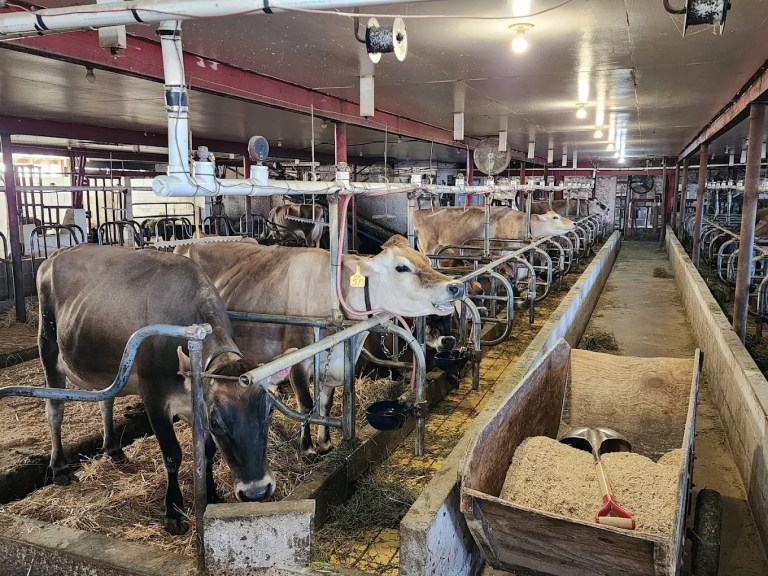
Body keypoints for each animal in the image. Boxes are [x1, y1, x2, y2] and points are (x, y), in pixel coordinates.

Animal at [36, 244, 281, 535]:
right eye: (217, 422)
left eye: (269, 412)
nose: (257, 491)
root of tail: (54, 256)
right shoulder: (154, 398)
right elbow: (173, 455)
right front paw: (173, 513)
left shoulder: (196, 403)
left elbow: (206, 452)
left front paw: (210, 495)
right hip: (48, 348)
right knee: (54, 410)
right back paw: (59, 467)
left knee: (106, 401)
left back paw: (113, 449)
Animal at [176, 235, 464, 457]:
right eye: (401, 267)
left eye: (426, 260)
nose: (456, 286)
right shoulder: (297, 359)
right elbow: (306, 405)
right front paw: (307, 449)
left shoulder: (337, 360)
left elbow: (325, 402)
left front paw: (325, 443)